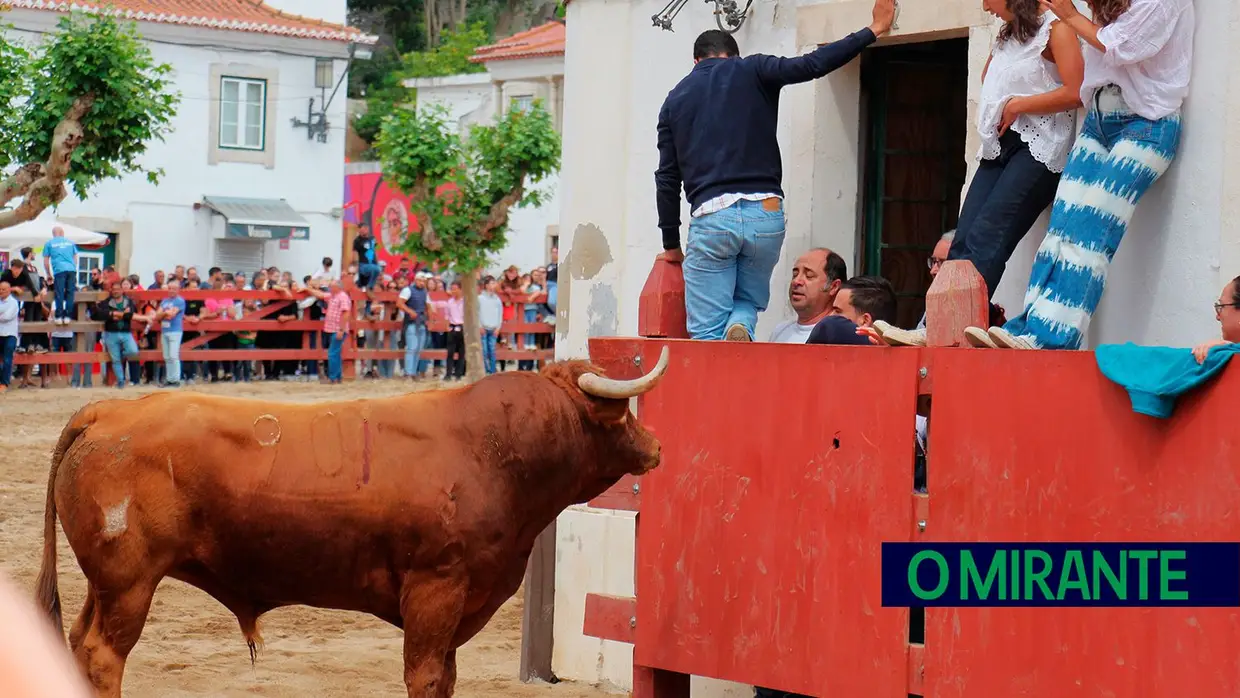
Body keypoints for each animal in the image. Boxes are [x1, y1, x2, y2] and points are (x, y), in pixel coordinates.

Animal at [31, 349, 669, 698]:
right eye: (619, 411)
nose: (656, 446)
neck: (493, 449)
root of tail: (110, 411)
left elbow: (447, 677)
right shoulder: (436, 590)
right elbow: (425, 676)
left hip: (106, 585)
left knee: (77, 644)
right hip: (129, 583)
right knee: (103, 656)